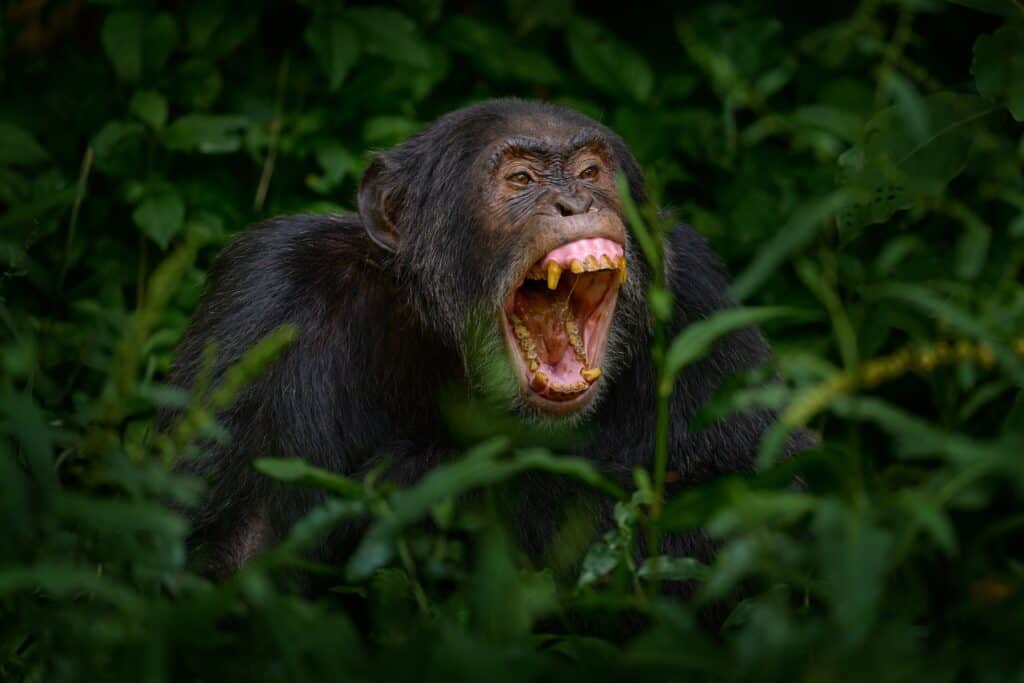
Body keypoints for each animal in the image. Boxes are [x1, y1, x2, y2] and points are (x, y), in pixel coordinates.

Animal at [163, 98, 811, 581]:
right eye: (521, 178)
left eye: (591, 173)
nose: (575, 200)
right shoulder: (269, 294)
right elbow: (230, 544)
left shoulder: (697, 292)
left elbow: (761, 499)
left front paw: (419, 484)